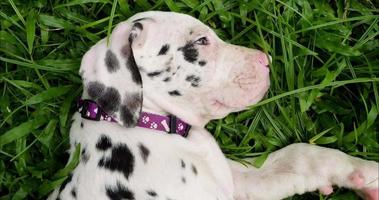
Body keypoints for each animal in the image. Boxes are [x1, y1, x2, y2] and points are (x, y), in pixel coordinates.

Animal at [49, 11, 378, 200]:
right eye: (201, 41)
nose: (266, 59)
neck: (157, 127)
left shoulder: (241, 182)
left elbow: (297, 157)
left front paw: (365, 173)